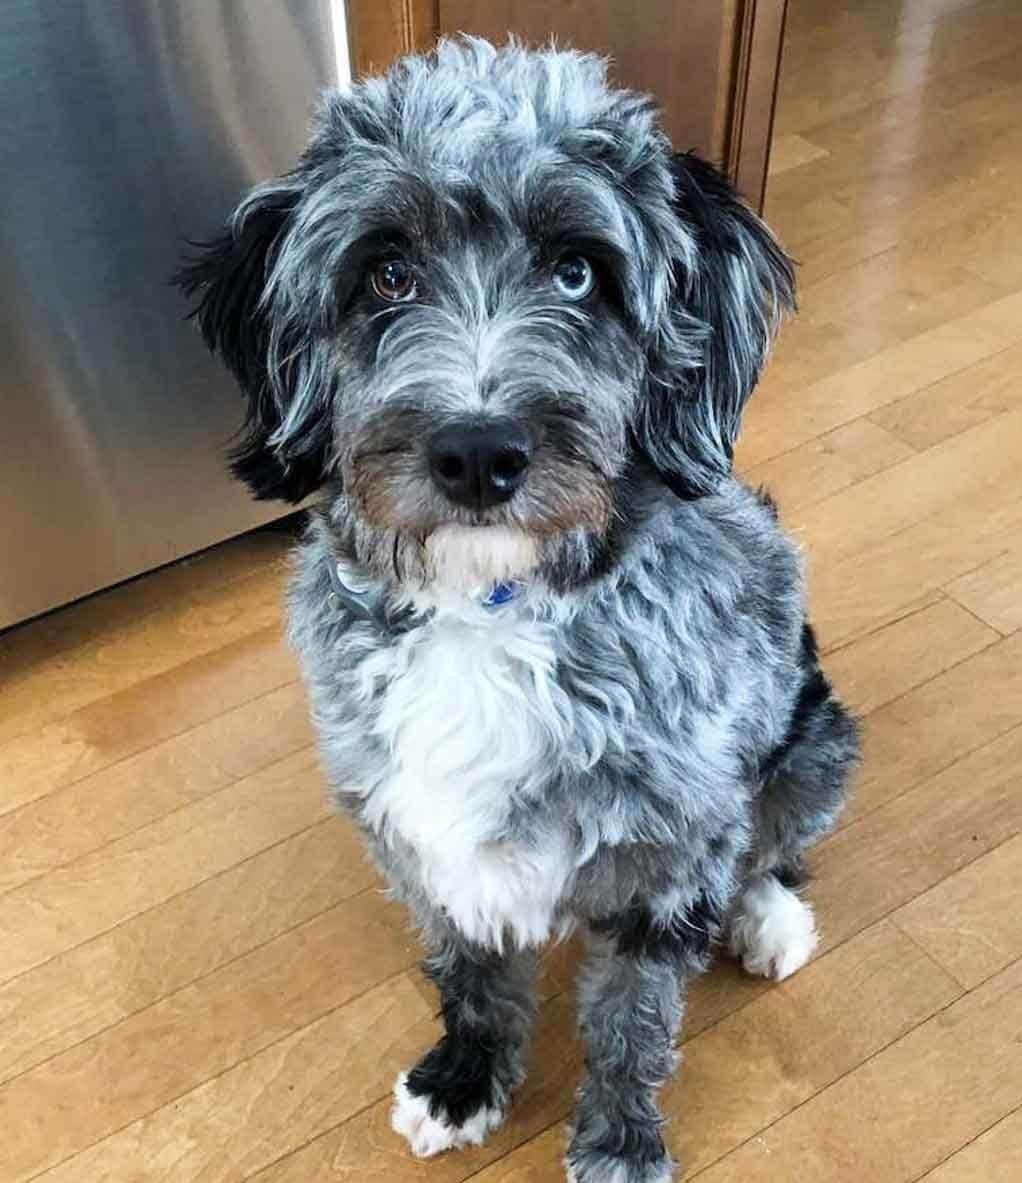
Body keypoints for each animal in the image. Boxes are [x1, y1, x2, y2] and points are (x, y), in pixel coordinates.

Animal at [179, 34, 856, 1183]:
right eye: (386, 272)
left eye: (579, 270)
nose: (478, 453)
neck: (490, 604)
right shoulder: (416, 834)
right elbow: (472, 973)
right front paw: (462, 1077)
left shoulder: (665, 863)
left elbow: (631, 1021)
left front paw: (620, 1141)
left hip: (815, 743)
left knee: (770, 845)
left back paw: (768, 918)